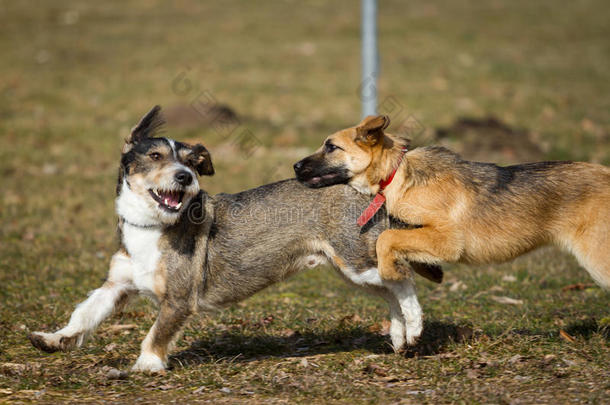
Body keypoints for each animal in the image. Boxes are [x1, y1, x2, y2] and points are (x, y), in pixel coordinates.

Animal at [294, 115, 608, 288]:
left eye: (331, 147)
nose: (295, 166)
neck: (397, 175)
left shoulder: (448, 240)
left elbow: (387, 239)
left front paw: (390, 273)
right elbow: (396, 237)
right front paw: (427, 270)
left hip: (599, 260)